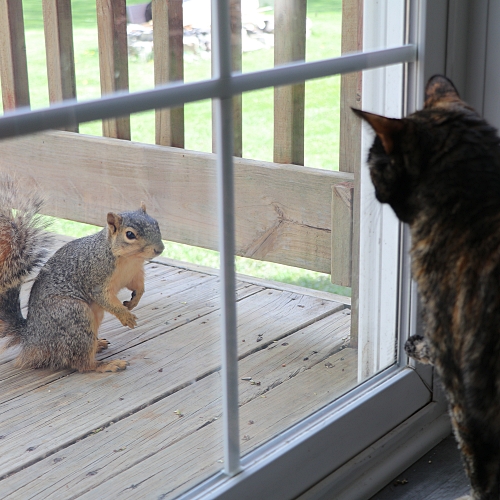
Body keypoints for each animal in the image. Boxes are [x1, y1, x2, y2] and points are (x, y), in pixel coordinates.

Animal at [0, 173, 164, 372]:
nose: (160, 249)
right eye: (130, 234)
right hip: (74, 315)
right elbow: (104, 297)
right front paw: (125, 315)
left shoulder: (134, 274)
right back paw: (106, 364)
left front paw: (133, 302)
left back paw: (98, 344)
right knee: (82, 363)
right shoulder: (96, 277)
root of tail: (32, 338)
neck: (129, 259)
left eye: (156, 224)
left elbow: (139, 287)